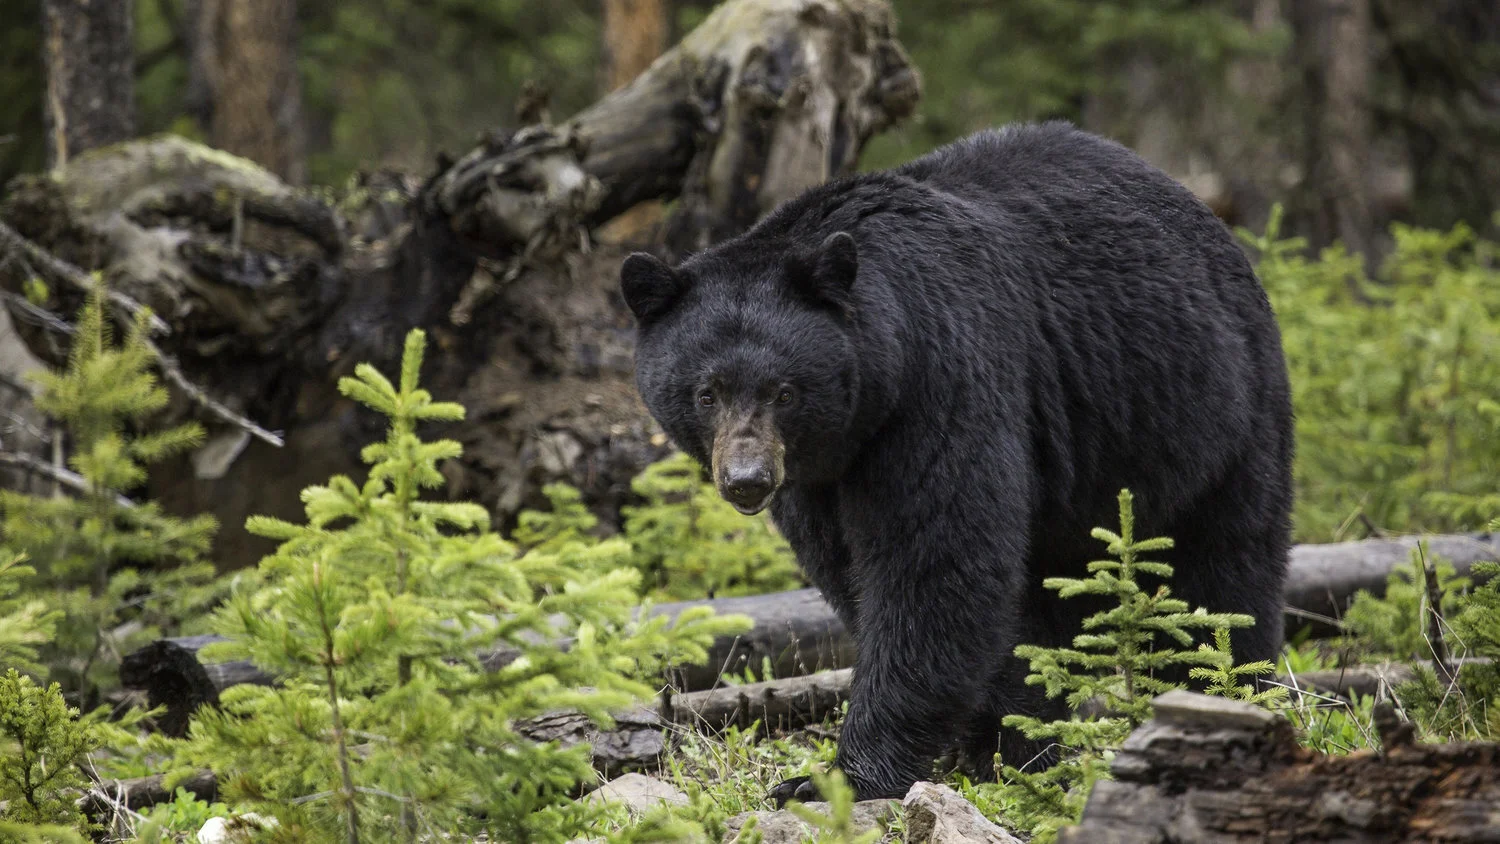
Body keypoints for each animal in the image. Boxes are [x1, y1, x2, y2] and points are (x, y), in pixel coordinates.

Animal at [619, 121, 1294, 804]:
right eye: (706, 393)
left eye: (784, 391)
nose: (747, 481)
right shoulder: (818, 475)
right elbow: (853, 569)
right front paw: (999, 741)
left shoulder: (943, 378)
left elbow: (935, 562)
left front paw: (839, 777)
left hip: (1215, 411)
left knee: (1223, 569)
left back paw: (1220, 692)